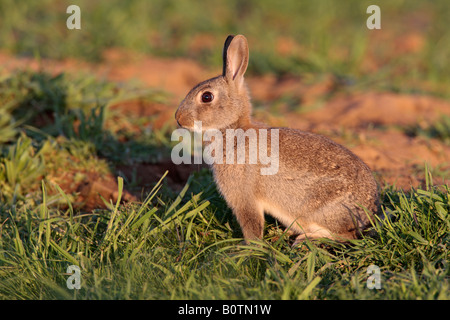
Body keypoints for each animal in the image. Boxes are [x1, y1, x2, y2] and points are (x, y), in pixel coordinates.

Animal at [176, 34, 380, 245]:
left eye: (207, 97)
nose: (179, 118)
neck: (233, 129)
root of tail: (369, 213)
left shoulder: (244, 197)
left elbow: (251, 224)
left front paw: (248, 247)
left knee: (346, 235)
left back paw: (305, 239)